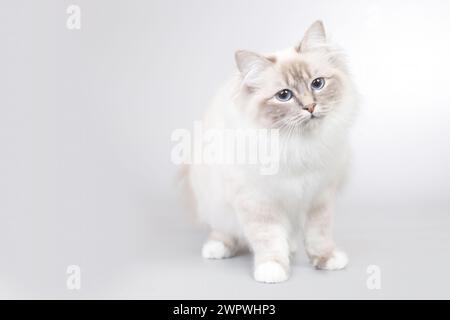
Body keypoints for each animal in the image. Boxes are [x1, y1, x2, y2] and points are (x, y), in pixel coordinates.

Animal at [181, 21, 356, 282]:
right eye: (284, 95)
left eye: (317, 83)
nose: (310, 107)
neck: (296, 145)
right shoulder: (258, 201)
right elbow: (269, 239)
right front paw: (272, 269)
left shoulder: (319, 197)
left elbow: (319, 234)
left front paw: (326, 259)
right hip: (215, 199)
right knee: (223, 230)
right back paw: (216, 248)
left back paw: (291, 248)